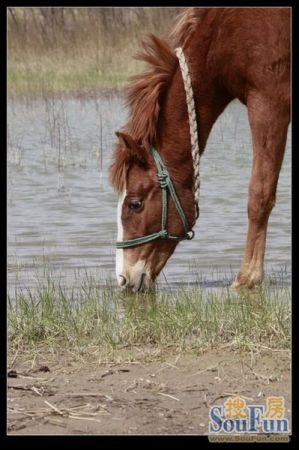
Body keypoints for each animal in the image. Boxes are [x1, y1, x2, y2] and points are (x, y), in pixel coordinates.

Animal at [109, 8, 290, 294]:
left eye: (134, 204)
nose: (123, 279)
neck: (223, 37)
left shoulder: (269, 104)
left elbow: (259, 195)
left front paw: (247, 278)